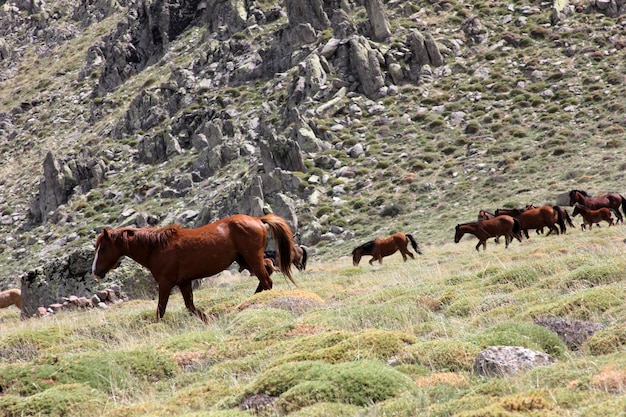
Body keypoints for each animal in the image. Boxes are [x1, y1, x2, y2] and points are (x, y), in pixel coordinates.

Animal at [91, 213, 296, 324]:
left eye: (103, 248)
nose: (96, 272)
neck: (157, 248)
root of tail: (258, 220)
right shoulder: (184, 282)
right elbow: (190, 307)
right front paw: (209, 320)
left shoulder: (166, 283)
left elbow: (160, 310)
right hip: (246, 260)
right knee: (267, 273)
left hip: (252, 259)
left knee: (266, 280)